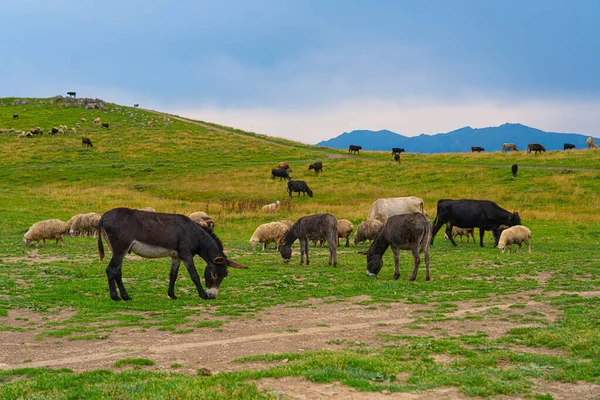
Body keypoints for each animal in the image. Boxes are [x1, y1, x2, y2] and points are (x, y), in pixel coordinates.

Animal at [97, 209, 247, 300]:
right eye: (214, 275)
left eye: (225, 276)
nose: (212, 296)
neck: (194, 234)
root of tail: (103, 217)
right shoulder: (186, 255)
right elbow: (194, 275)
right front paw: (202, 295)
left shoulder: (176, 256)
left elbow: (173, 275)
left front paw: (172, 295)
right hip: (120, 249)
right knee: (111, 270)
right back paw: (115, 297)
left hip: (118, 250)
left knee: (117, 272)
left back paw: (125, 296)